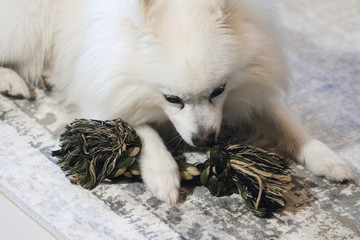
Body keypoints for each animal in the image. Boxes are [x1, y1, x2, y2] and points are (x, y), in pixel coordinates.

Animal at [0, 0, 354, 203]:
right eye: (172, 99)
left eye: (218, 90)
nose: (205, 140)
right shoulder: (105, 88)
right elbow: (140, 129)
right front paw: (162, 173)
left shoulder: (252, 88)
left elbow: (289, 125)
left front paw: (326, 158)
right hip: (27, 25)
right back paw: (12, 82)